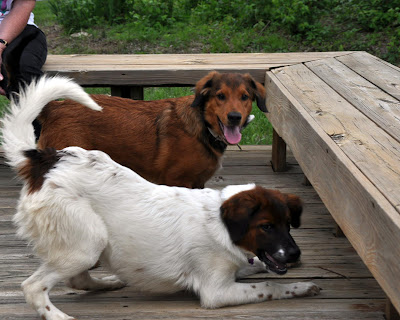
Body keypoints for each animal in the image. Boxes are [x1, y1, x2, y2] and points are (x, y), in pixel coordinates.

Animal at [37, 72, 268, 188]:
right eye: (220, 96)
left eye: (245, 97)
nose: (235, 117)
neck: (202, 126)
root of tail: (54, 107)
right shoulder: (178, 182)